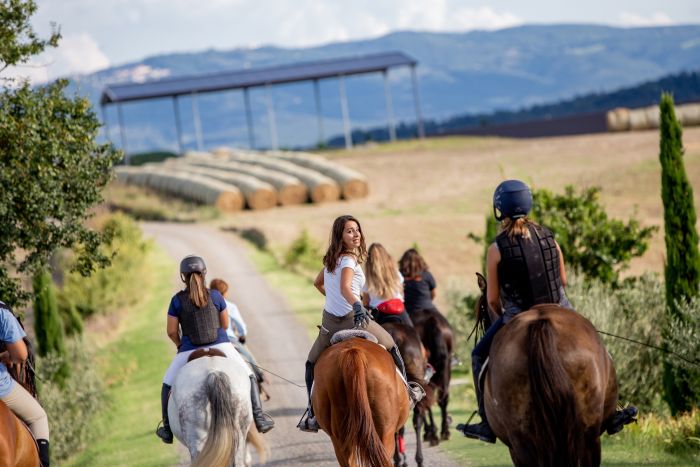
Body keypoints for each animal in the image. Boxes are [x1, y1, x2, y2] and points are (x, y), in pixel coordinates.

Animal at [408, 308, 456, 444]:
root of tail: (431, 321)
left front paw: (429, 431)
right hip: (446, 367)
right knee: (443, 397)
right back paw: (444, 431)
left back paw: (432, 433)